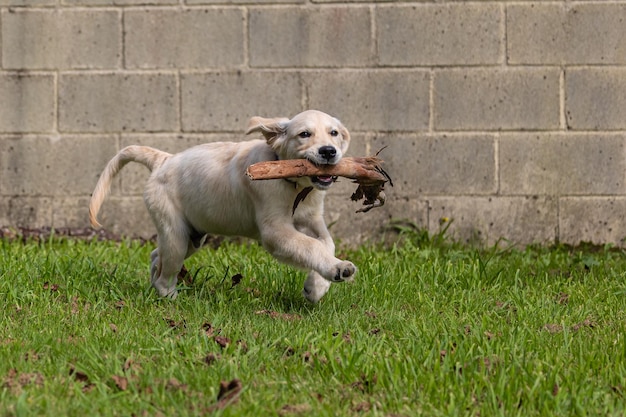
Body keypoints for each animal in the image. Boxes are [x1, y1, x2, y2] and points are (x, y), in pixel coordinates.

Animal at [91, 109, 358, 300]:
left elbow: (326, 243)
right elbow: (312, 246)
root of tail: (163, 160)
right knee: (165, 270)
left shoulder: (311, 219)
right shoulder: (275, 231)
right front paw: (338, 269)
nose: (328, 151)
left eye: (334, 133)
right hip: (176, 235)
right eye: (304, 134)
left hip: (192, 237)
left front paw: (316, 286)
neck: (296, 187)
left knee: (157, 255)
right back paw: (170, 297)